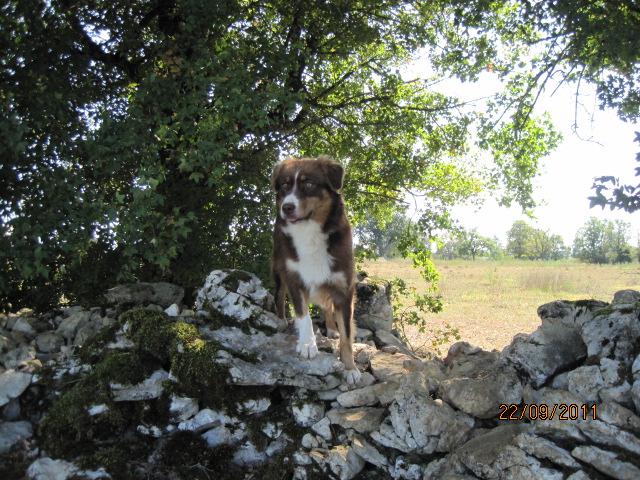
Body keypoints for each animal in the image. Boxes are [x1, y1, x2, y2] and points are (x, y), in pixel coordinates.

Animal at [268, 156, 360, 384]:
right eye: (284, 185)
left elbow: (347, 335)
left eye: (309, 184)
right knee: (279, 295)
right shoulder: (294, 277)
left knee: (327, 306)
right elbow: (303, 314)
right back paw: (281, 320)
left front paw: (350, 368)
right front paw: (307, 344)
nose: (286, 207)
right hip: (279, 270)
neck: (309, 230)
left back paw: (332, 329)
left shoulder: (344, 288)